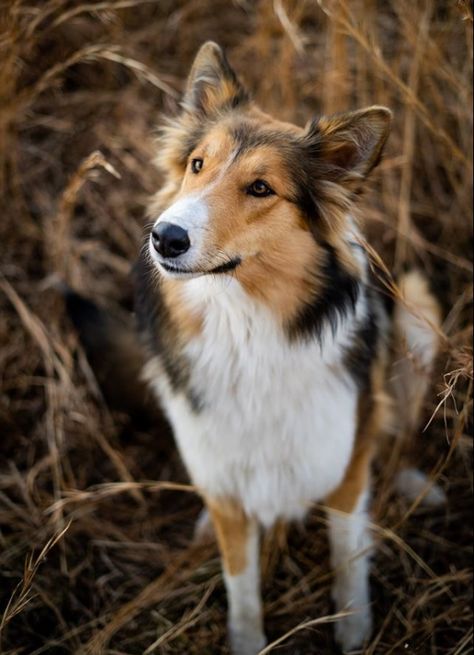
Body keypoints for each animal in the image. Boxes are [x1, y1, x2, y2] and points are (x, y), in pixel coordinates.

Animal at [76, 42, 442, 655]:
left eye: (261, 189)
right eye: (197, 165)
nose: (164, 237)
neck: (243, 330)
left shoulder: (344, 463)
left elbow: (347, 554)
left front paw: (354, 629)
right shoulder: (223, 474)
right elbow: (240, 579)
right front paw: (247, 637)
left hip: (419, 312)